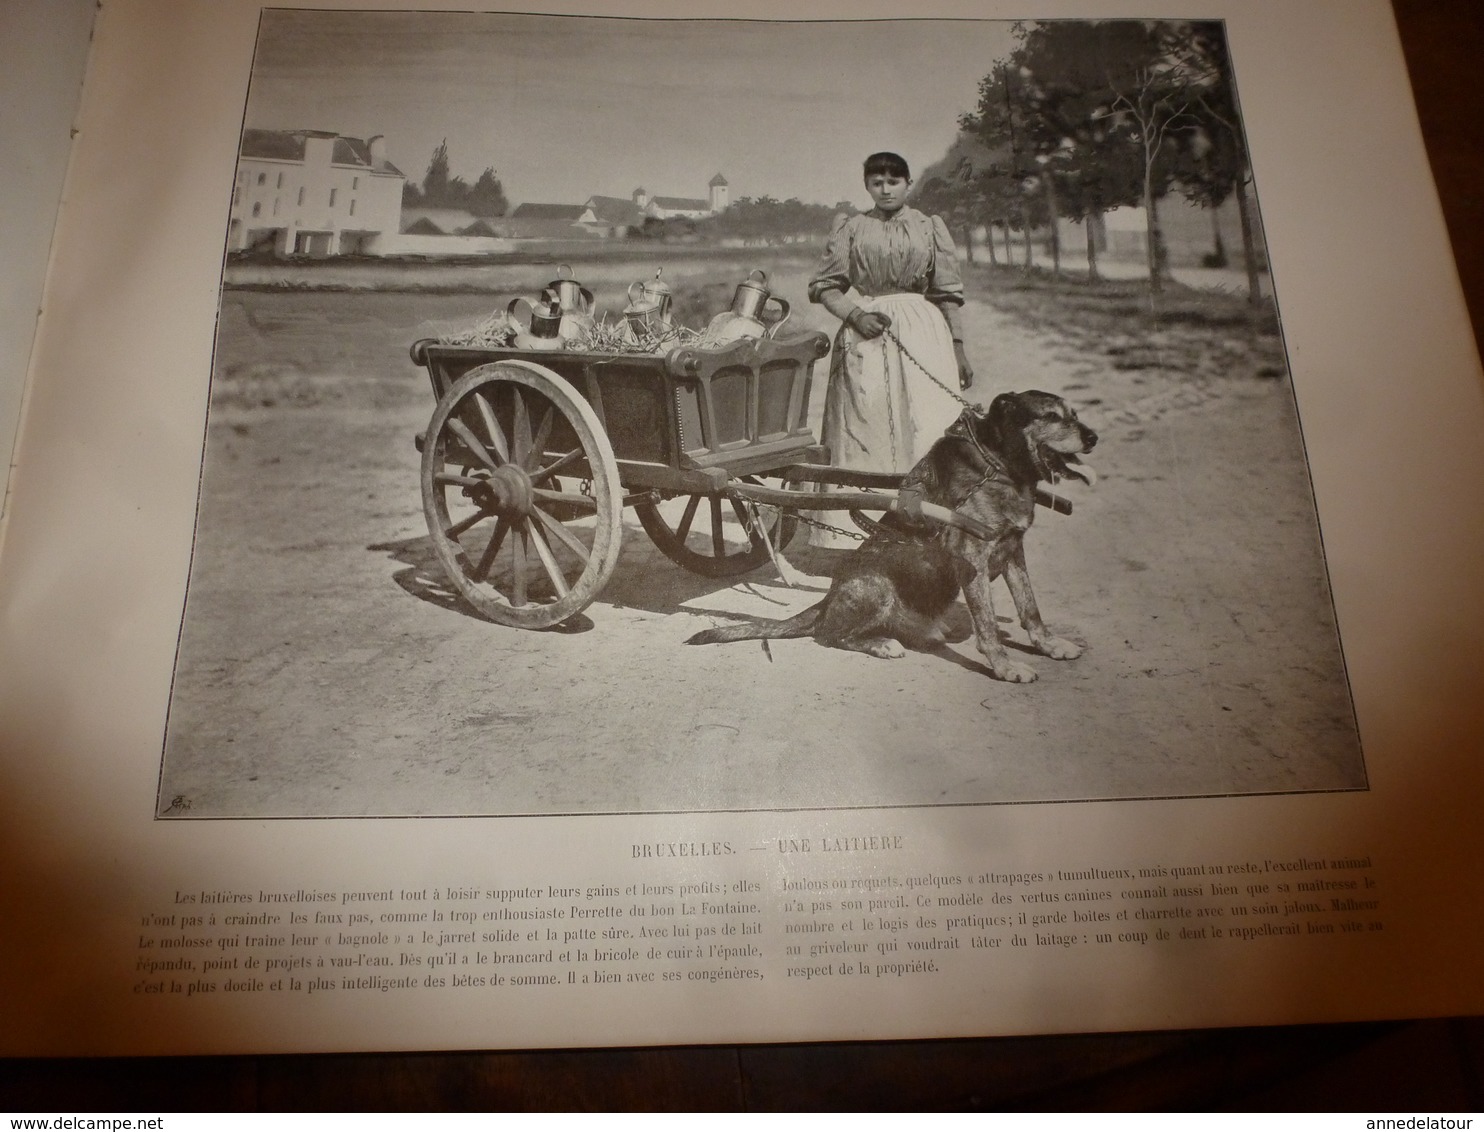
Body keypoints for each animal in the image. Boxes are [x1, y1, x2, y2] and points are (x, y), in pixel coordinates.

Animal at [688, 394, 1098, 685]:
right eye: (1051, 416)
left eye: (1074, 413)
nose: (1094, 437)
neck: (996, 465)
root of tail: (828, 598)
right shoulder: (973, 561)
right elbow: (988, 627)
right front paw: (1005, 667)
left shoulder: (1014, 550)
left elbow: (1031, 609)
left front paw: (1049, 645)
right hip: (876, 586)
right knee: (829, 635)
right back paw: (881, 643)